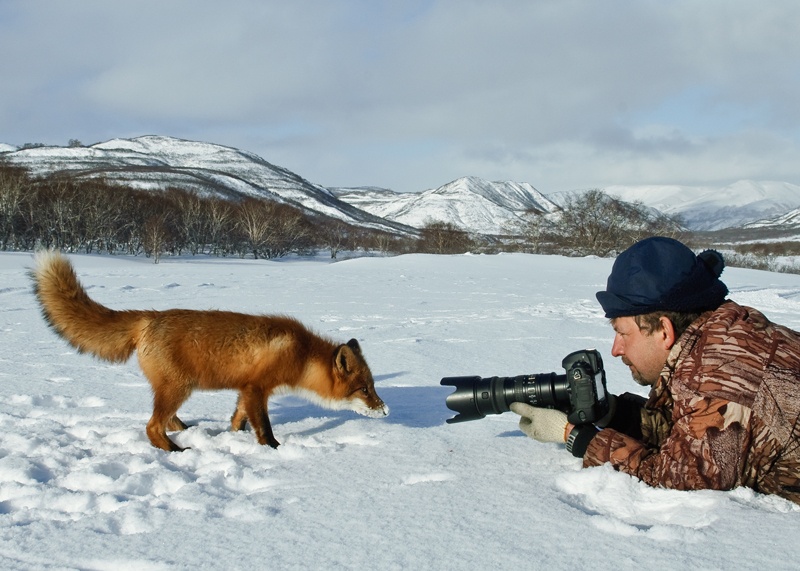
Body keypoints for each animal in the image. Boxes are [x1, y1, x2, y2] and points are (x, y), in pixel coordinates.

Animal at [32, 250, 390, 452]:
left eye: (373, 387)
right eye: (364, 389)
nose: (386, 410)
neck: (301, 355)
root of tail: (150, 316)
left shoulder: (246, 390)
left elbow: (238, 420)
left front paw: (233, 438)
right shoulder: (257, 388)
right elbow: (264, 428)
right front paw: (274, 450)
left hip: (174, 389)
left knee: (165, 420)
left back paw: (185, 432)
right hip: (179, 387)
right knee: (151, 426)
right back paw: (175, 451)